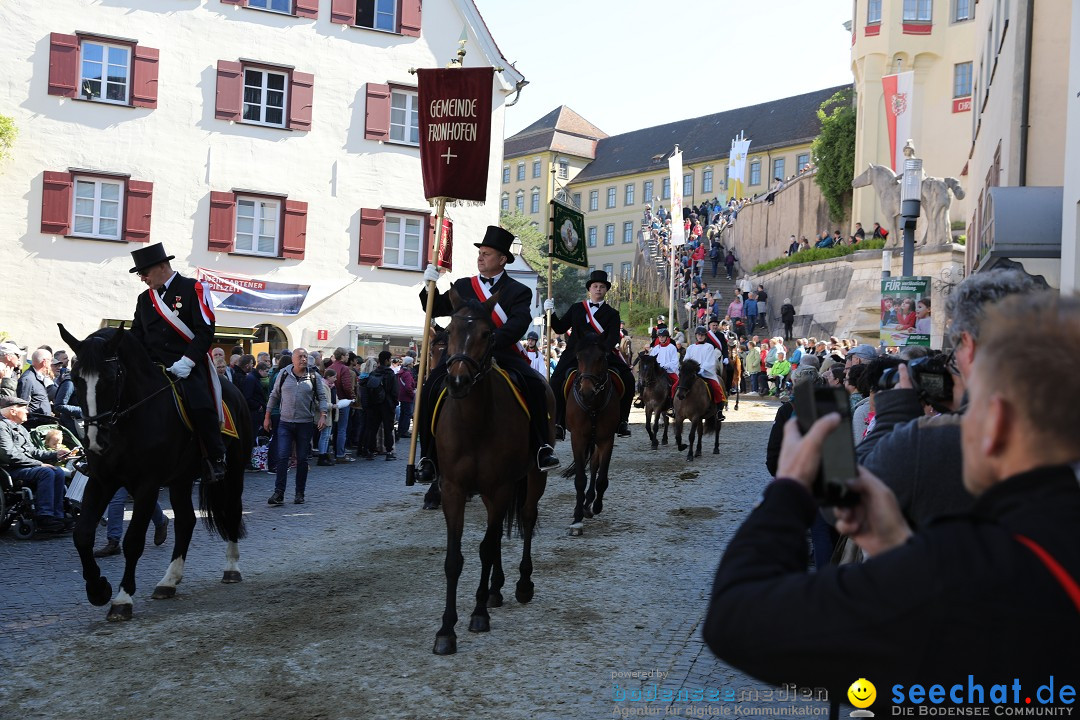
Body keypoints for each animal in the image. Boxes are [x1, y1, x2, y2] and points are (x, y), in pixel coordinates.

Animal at [57, 323, 250, 621]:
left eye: (110, 378)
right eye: (77, 379)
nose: (95, 441)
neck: (128, 419)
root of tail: (234, 390)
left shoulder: (147, 484)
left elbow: (134, 540)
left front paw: (122, 599)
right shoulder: (102, 481)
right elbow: (82, 535)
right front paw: (98, 589)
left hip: (234, 471)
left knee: (231, 511)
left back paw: (231, 567)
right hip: (181, 480)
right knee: (186, 521)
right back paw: (169, 580)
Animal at [429, 289, 548, 656]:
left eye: (487, 334)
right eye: (449, 331)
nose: (457, 380)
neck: (474, 423)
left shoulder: (499, 487)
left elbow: (485, 547)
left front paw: (478, 614)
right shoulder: (454, 489)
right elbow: (455, 558)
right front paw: (446, 630)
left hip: (533, 477)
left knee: (526, 519)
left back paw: (522, 584)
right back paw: (496, 589)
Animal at [565, 332, 617, 535]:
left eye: (600, 358)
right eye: (579, 358)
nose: (586, 391)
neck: (593, 405)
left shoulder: (607, 439)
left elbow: (601, 477)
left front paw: (596, 506)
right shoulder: (577, 438)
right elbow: (580, 478)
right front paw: (577, 518)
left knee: (595, 465)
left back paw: (589, 503)